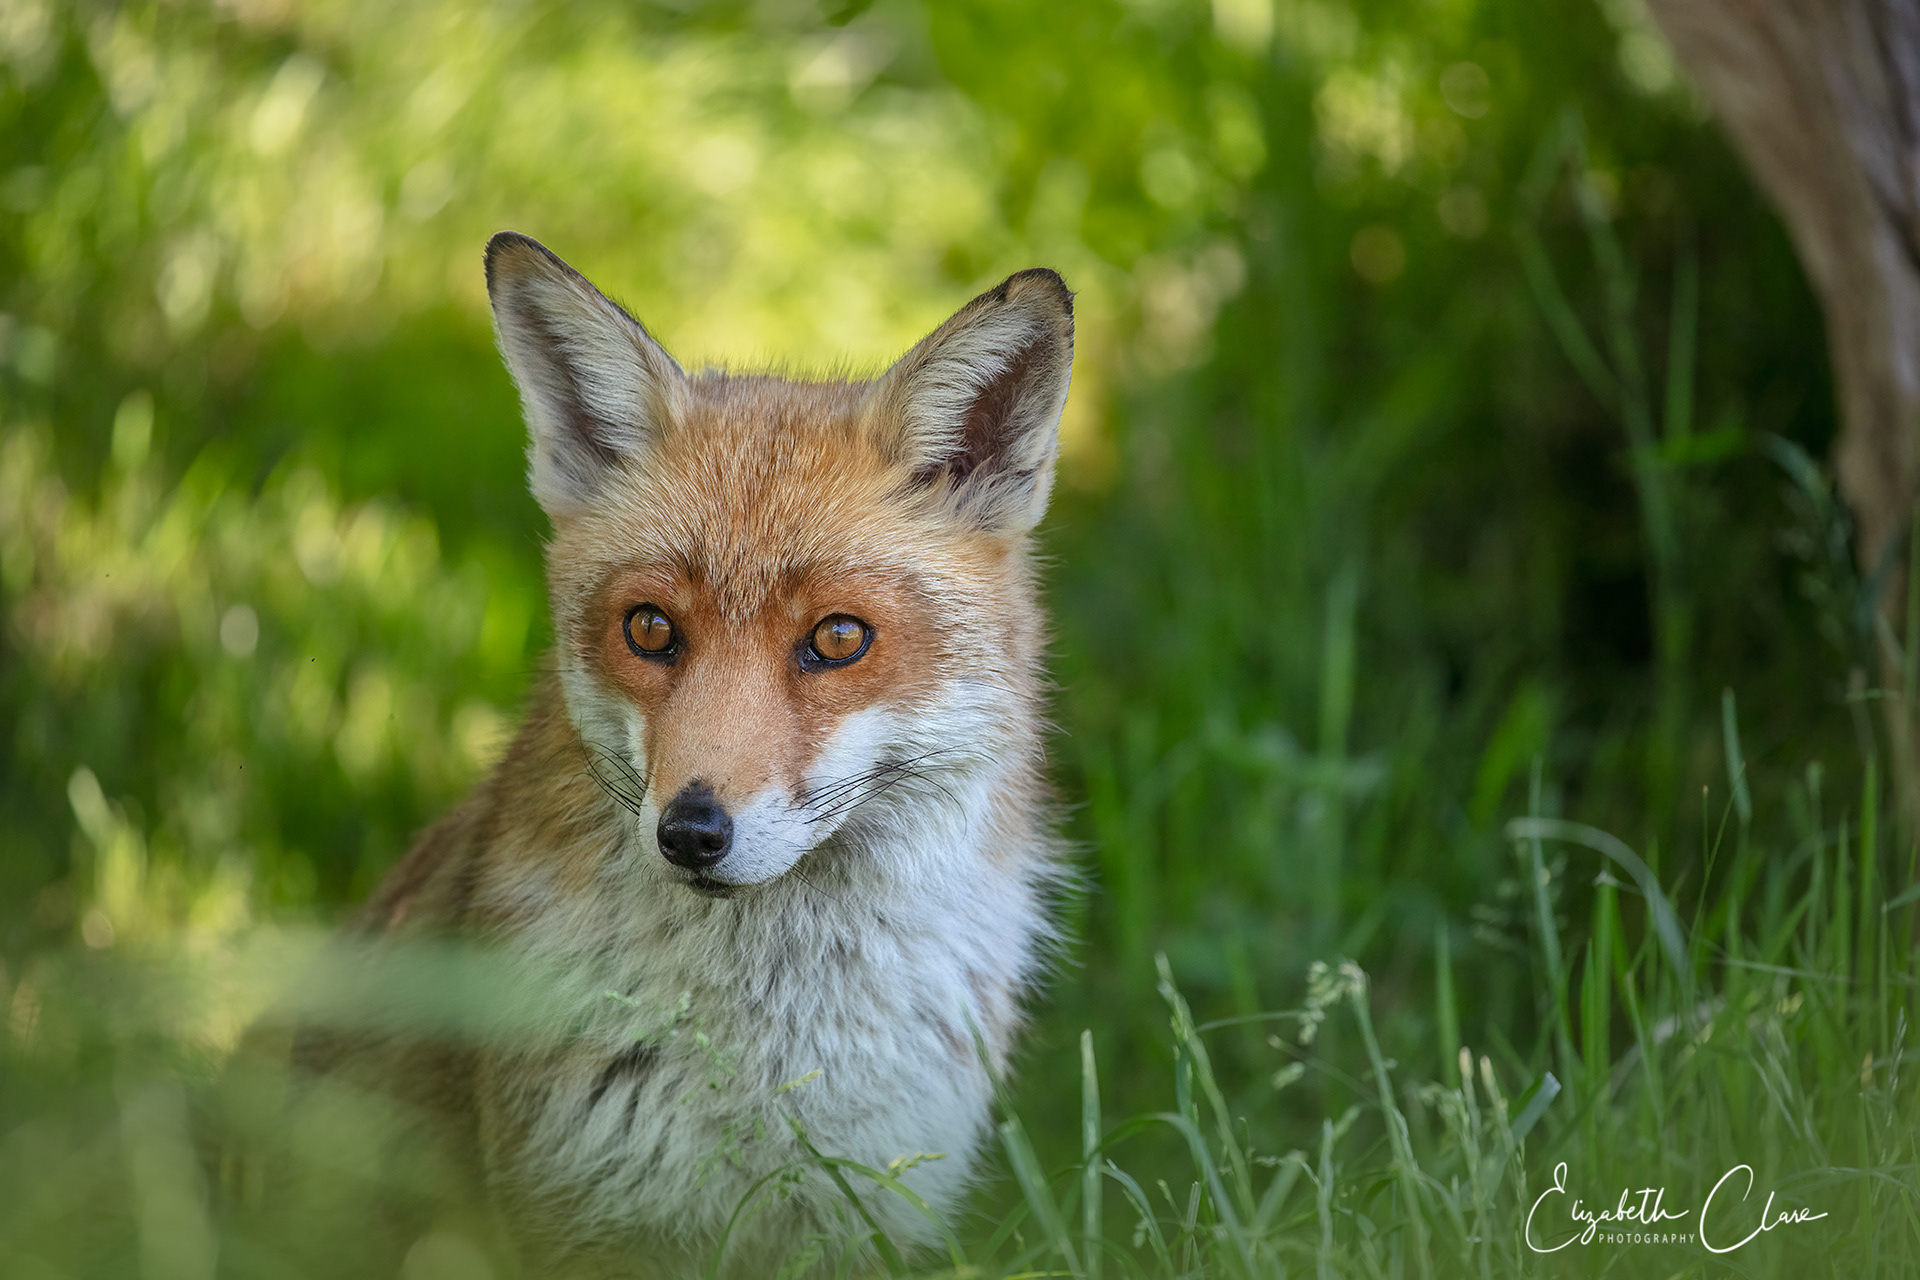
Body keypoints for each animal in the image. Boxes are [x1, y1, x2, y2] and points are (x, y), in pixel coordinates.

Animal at [259, 233, 1075, 1278]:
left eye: (839, 638)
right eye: (650, 629)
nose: (691, 832)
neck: (770, 1053)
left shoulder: (872, 1210)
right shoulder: (580, 1215)